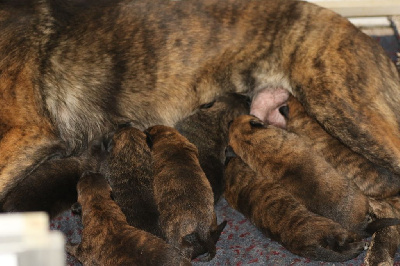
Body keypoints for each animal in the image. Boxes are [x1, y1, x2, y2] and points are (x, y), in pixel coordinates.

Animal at [225, 156, 366, 262]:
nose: (229, 156)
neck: (234, 185)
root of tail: (306, 247)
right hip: (333, 228)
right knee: (344, 239)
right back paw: (359, 242)